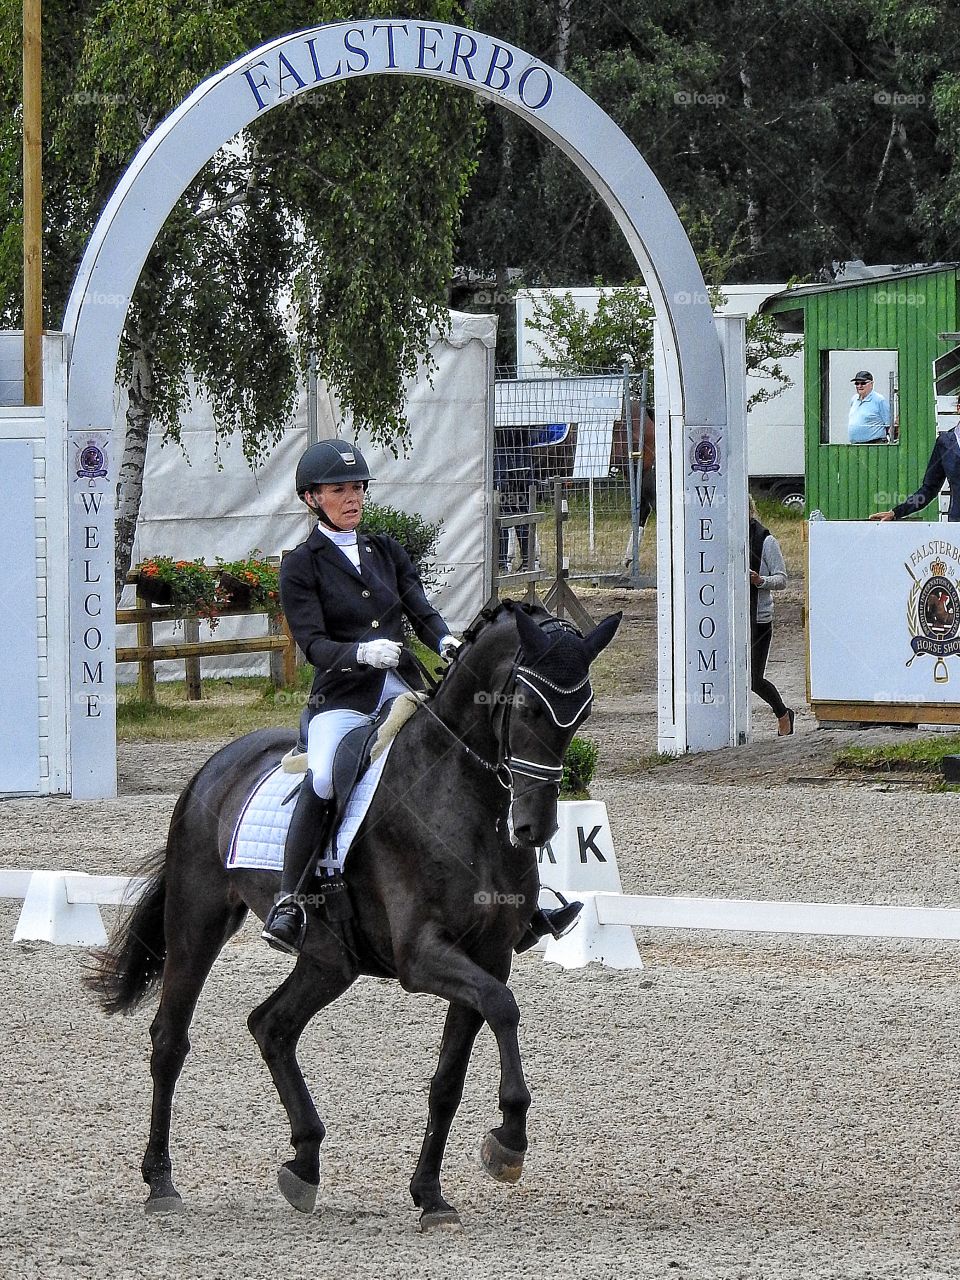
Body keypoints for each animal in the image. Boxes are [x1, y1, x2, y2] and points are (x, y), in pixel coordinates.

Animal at [88, 599, 616, 1228]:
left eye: (582, 713)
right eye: (529, 706)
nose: (534, 828)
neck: (461, 795)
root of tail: (212, 768)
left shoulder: (486, 955)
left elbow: (451, 1074)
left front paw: (431, 1194)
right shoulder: (422, 957)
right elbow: (503, 1007)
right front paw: (508, 1141)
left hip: (330, 959)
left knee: (272, 1025)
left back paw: (304, 1164)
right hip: (198, 920)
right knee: (171, 1039)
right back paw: (161, 1183)